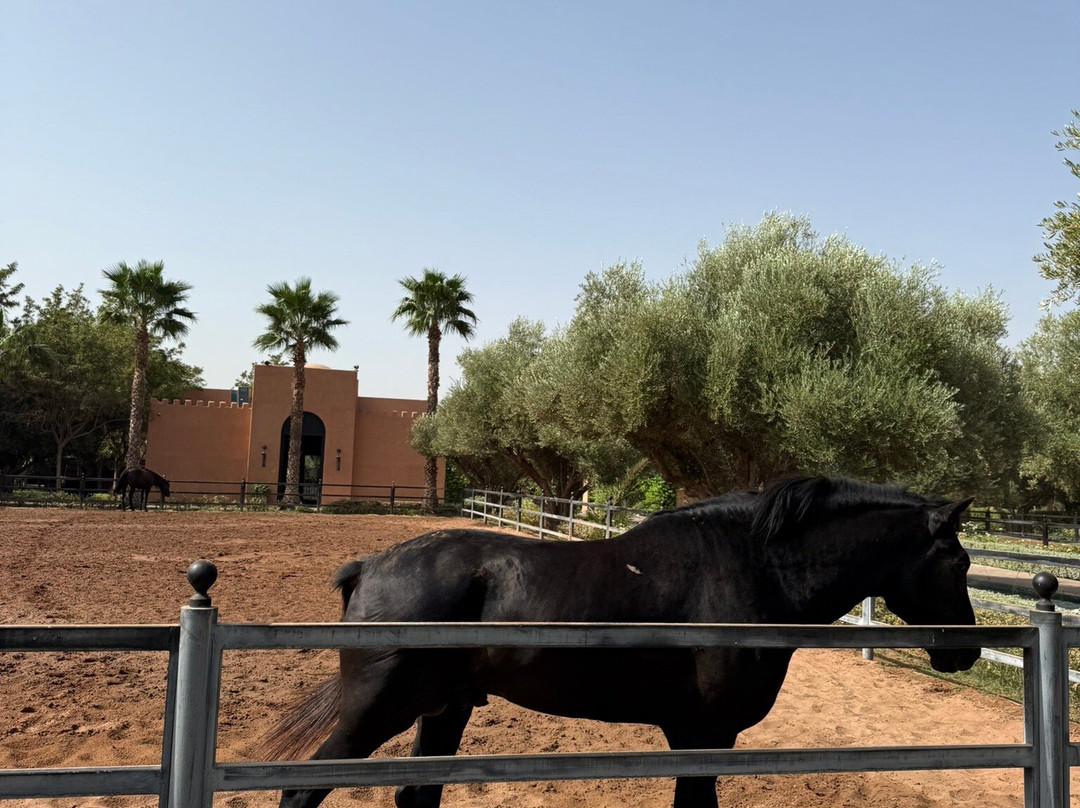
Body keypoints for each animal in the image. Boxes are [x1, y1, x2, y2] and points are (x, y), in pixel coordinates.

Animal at [267, 476, 979, 808]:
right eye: (959, 562)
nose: (965, 651)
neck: (754, 568)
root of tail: (371, 565)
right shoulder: (703, 733)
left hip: (445, 709)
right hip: (377, 709)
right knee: (301, 791)